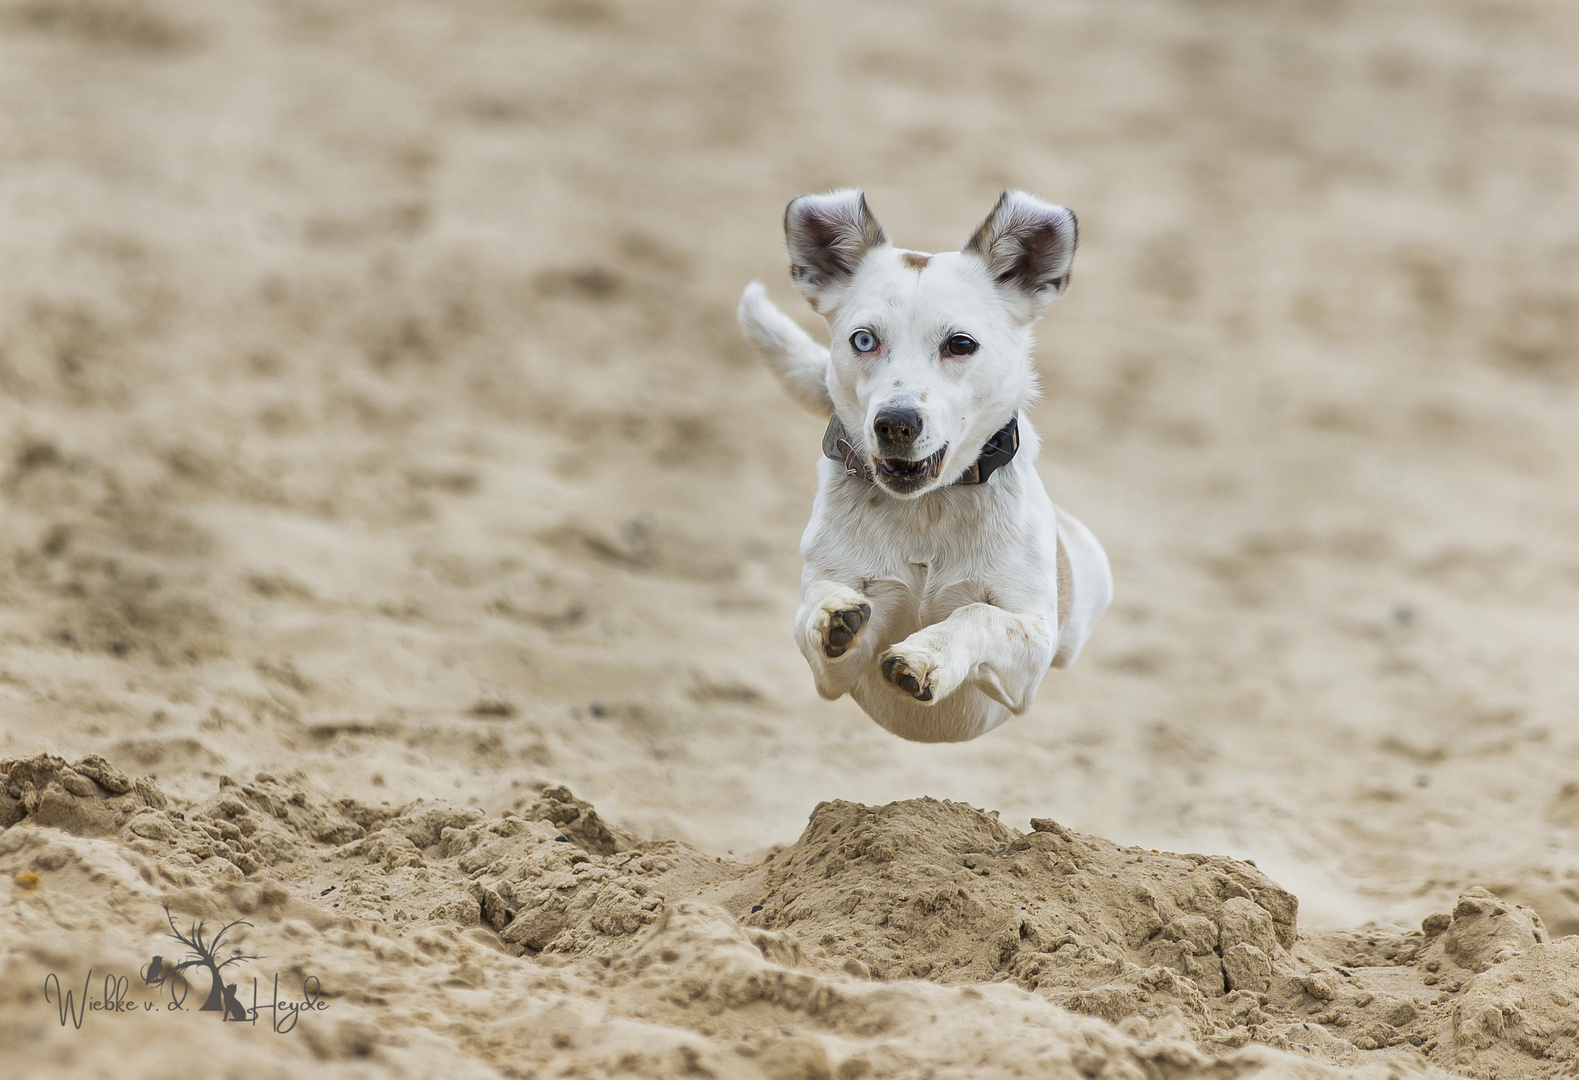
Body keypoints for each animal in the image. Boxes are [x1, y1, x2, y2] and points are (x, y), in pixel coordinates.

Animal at [735, 189, 1111, 742]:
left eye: (960, 344)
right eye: (863, 340)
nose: (895, 423)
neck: (926, 510)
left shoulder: (1032, 649)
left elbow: (978, 614)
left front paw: (925, 655)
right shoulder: (835, 676)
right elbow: (817, 612)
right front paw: (832, 613)